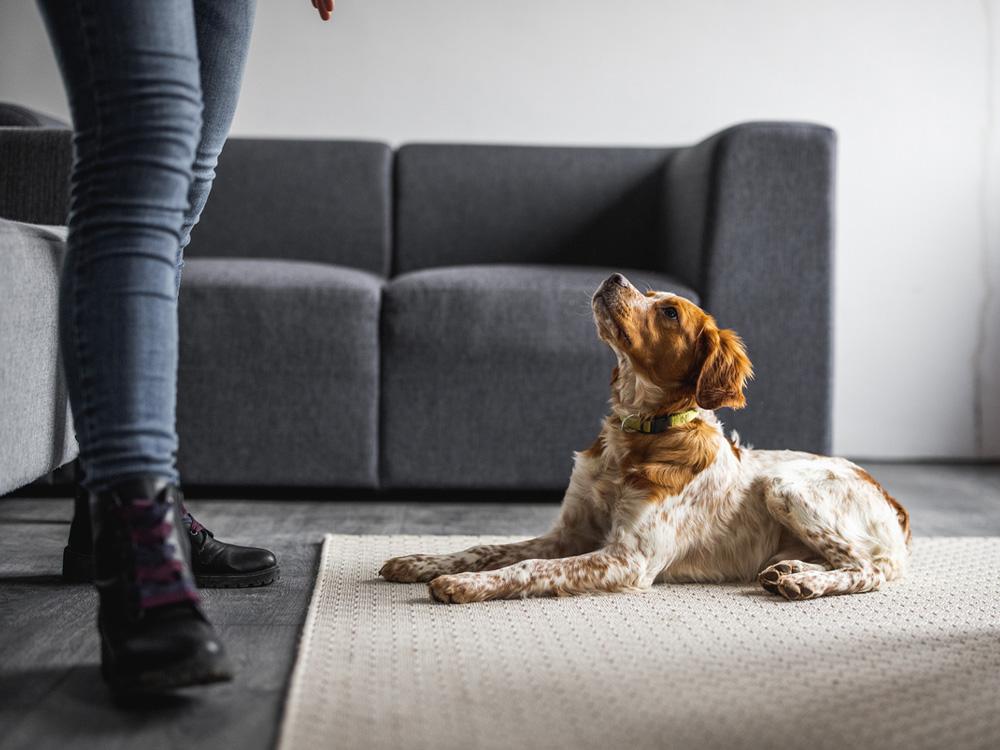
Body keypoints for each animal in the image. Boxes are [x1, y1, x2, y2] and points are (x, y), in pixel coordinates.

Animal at [378, 274, 912, 604]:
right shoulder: (569, 534)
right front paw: (420, 561)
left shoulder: (627, 557)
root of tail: (891, 500)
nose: (614, 277)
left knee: (873, 567)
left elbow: (526, 568)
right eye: (650, 293)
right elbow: (488, 547)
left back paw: (806, 585)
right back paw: (790, 572)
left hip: (785, 487)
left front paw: (463, 584)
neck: (636, 433)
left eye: (670, 313)